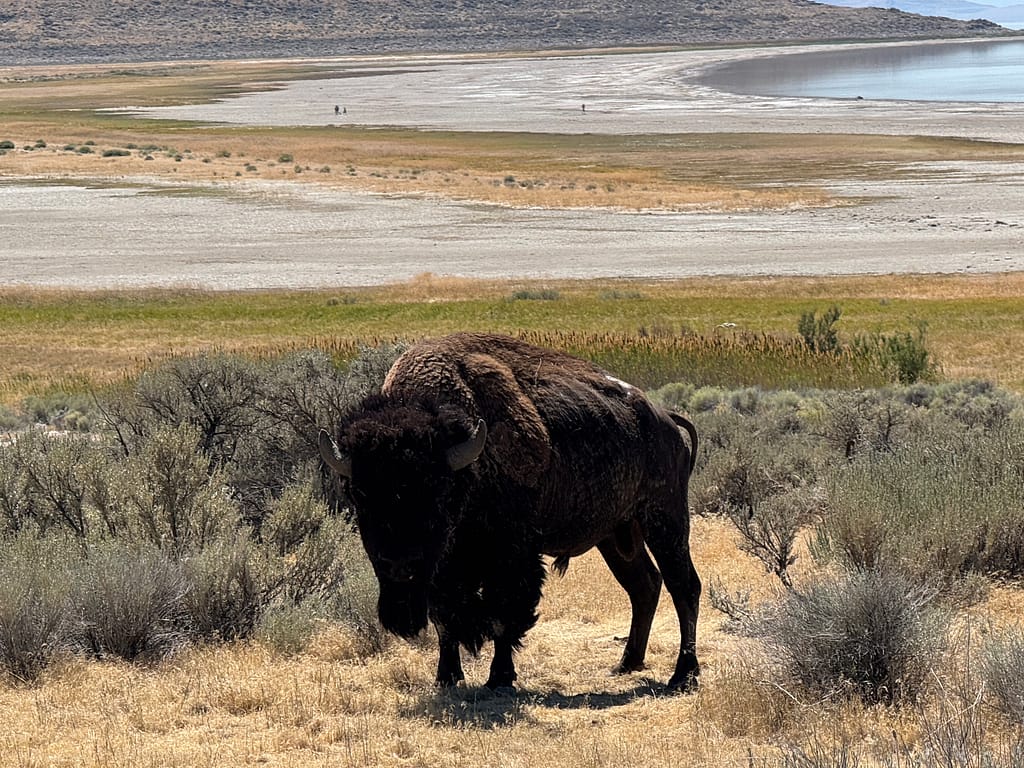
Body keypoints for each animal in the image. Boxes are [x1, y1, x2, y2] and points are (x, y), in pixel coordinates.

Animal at [319, 333, 701, 691]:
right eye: (360, 493)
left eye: (437, 492)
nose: (399, 566)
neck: (467, 469)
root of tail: (666, 420)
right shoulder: (442, 572)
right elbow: (445, 618)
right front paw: (447, 677)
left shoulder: (511, 558)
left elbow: (504, 615)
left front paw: (500, 677)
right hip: (616, 534)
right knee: (644, 585)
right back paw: (626, 663)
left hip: (665, 519)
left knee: (684, 586)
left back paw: (683, 675)